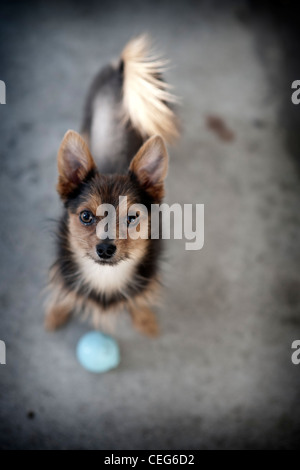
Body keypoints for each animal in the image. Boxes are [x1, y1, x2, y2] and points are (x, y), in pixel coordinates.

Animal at [45, 35, 178, 338]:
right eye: (85, 216)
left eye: (132, 217)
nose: (105, 249)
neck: (106, 276)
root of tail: (119, 71)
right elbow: (64, 295)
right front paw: (56, 314)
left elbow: (139, 301)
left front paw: (144, 320)